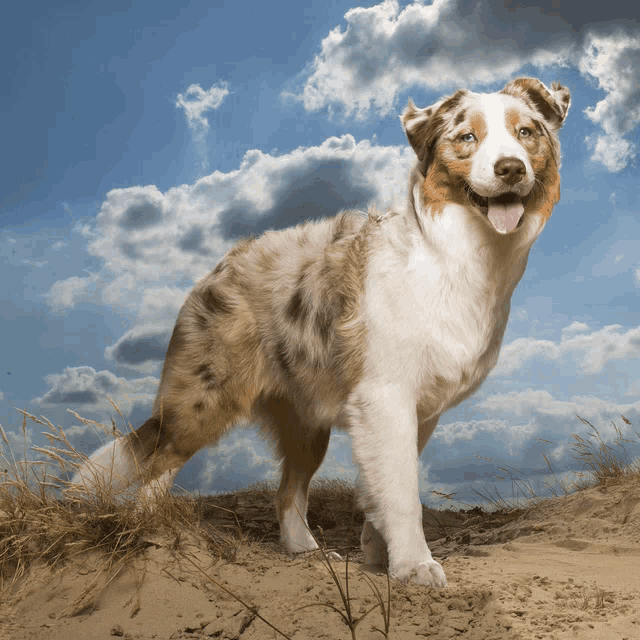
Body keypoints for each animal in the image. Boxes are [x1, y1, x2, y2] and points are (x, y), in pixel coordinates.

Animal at [74, 77, 568, 588]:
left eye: (526, 132)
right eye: (467, 137)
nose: (510, 168)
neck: (459, 256)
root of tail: (220, 267)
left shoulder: (420, 411)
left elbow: (384, 487)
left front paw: (379, 557)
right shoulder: (386, 396)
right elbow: (401, 490)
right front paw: (414, 564)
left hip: (306, 425)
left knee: (287, 493)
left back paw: (304, 551)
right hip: (202, 403)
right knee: (156, 466)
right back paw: (148, 535)